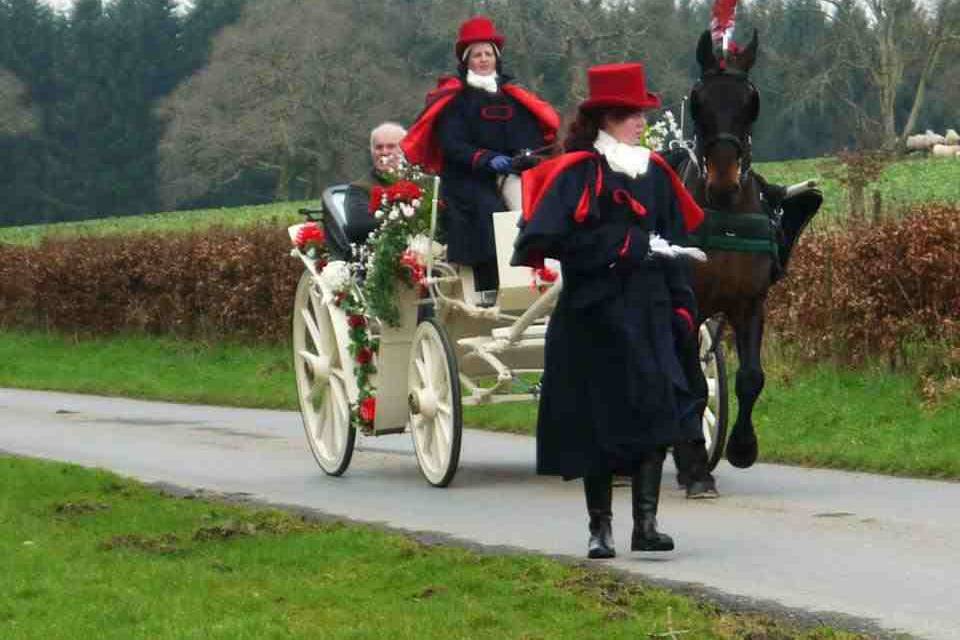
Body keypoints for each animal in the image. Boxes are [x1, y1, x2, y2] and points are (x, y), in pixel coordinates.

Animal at [676, 31, 824, 480]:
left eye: (751, 100)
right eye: (699, 98)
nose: (724, 177)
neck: (724, 215)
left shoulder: (750, 302)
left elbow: (750, 378)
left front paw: (741, 446)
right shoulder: (690, 301)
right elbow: (691, 380)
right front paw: (695, 463)